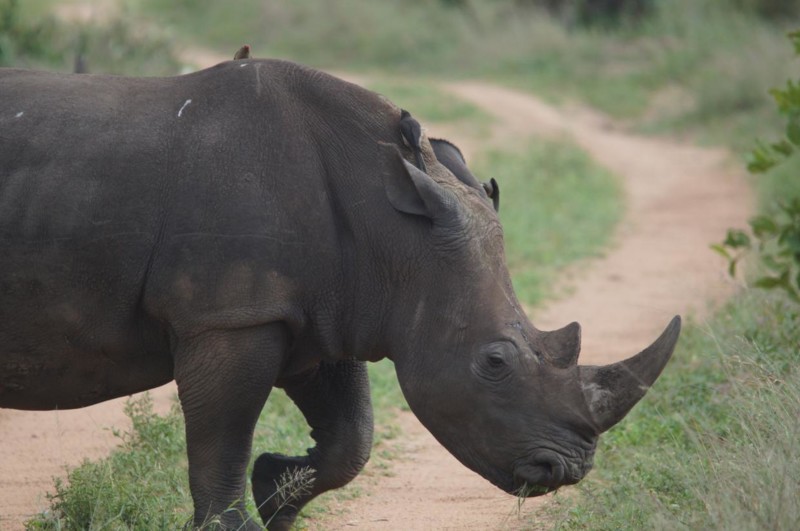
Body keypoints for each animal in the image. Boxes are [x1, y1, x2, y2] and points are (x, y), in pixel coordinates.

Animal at [0, 59, 680, 530]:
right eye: (493, 362)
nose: (563, 471)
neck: (396, 235)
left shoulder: (327, 312)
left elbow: (354, 436)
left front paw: (276, 491)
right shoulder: (231, 316)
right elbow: (222, 436)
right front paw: (239, 519)